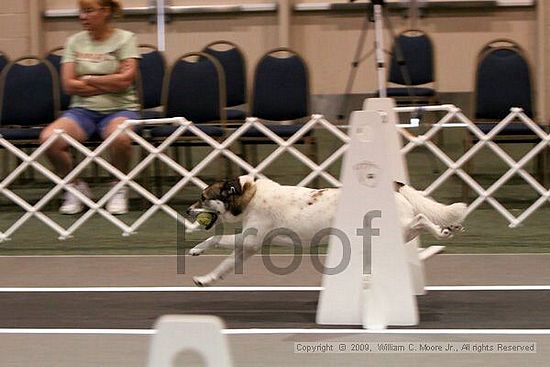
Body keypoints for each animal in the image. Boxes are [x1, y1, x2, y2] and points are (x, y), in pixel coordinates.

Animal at [188, 176, 468, 288]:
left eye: (203, 197)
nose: (188, 211)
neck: (248, 196)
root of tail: (393, 184)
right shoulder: (248, 248)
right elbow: (224, 266)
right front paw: (206, 279)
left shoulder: (249, 238)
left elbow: (214, 238)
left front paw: (197, 249)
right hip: (393, 235)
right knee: (420, 222)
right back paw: (451, 228)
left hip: (397, 228)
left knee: (421, 218)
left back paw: (444, 232)